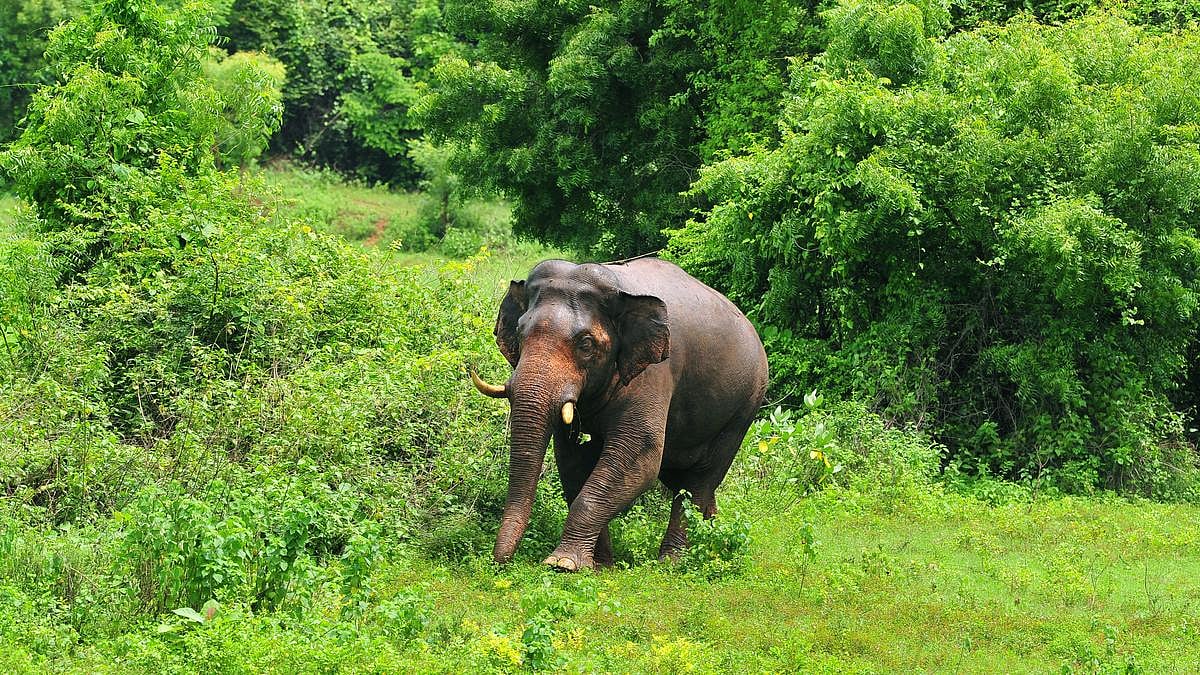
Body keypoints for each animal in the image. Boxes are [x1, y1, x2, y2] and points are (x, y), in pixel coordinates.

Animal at [470, 257, 768, 571]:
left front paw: (562, 563)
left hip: (744, 406)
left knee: (700, 479)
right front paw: (599, 565)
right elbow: (572, 461)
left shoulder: (653, 373)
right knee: (682, 479)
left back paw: (673, 562)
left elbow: (641, 457)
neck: (617, 286)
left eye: (586, 344)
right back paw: (712, 542)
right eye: (520, 332)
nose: (499, 562)